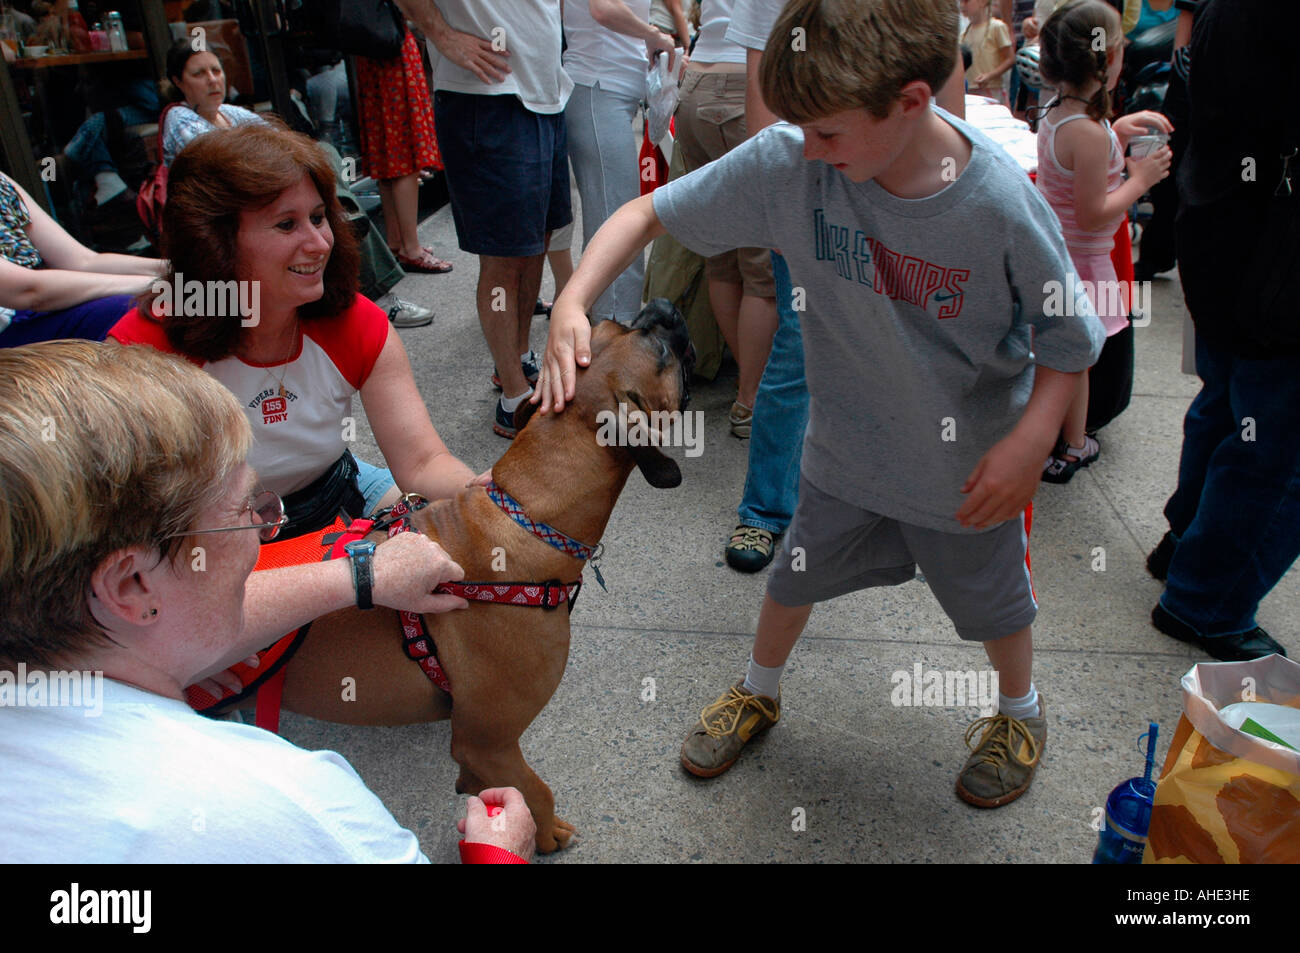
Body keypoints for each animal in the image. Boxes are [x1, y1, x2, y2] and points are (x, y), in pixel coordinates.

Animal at [280, 297, 696, 847]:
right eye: (661, 351)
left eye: (604, 324)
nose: (665, 305)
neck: (526, 516)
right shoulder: (490, 742)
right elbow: (536, 790)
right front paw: (542, 834)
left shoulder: (482, 750)